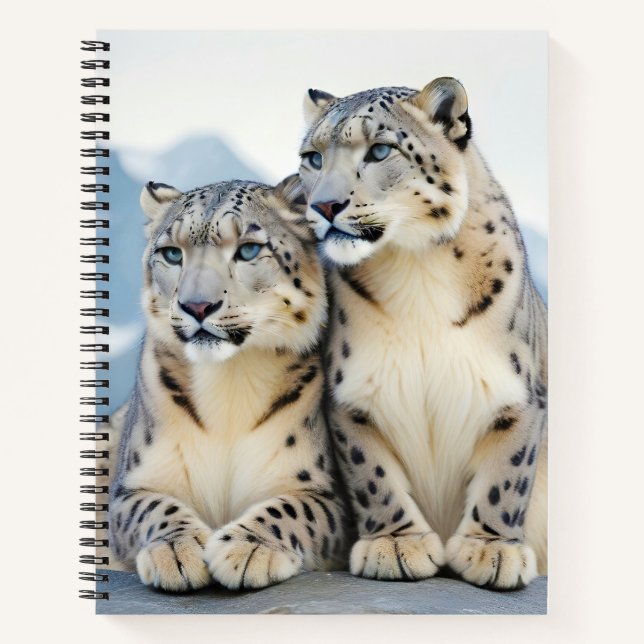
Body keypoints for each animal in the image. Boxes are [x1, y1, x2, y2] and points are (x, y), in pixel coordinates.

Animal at [108, 176, 348, 592]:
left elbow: (291, 509)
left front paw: (246, 549)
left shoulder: (323, 489)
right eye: (171, 253)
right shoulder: (133, 484)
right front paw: (179, 550)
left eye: (249, 249)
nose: (197, 306)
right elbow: (154, 508)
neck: (229, 384)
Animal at [297, 77, 547, 590]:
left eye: (379, 150)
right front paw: (395, 545)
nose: (324, 205)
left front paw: (492, 551)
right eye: (312, 157)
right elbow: (372, 474)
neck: (416, 270)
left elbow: (507, 475)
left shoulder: (519, 393)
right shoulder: (351, 396)